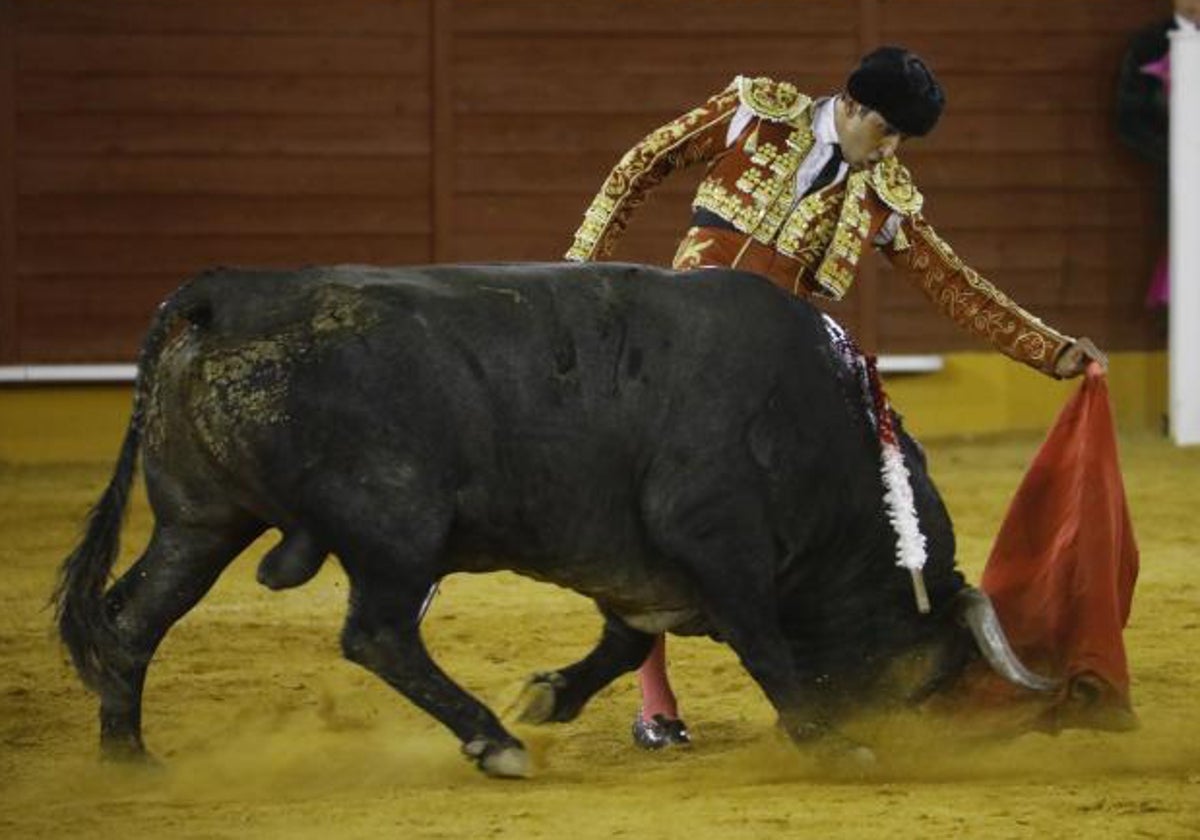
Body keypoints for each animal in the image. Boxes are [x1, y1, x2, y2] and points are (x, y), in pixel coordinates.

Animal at [54, 260, 1051, 772]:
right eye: (925, 674)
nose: (897, 735)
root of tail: (228, 293)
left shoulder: (644, 564)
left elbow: (625, 638)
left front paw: (550, 695)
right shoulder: (714, 536)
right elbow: (761, 641)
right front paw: (828, 742)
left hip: (200, 521)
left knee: (133, 620)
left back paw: (125, 750)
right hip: (395, 526)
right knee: (378, 634)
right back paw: (492, 744)